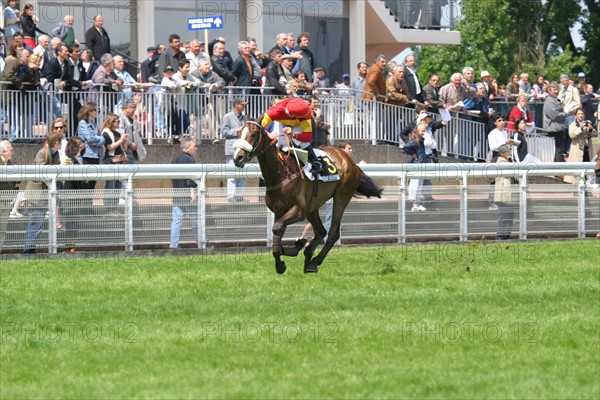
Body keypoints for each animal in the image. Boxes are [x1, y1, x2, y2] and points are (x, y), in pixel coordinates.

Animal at [232, 120, 382, 274]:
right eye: (238, 133)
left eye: (254, 134)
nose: (238, 158)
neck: (281, 173)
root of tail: (350, 160)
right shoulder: (280, 211)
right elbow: (277, 234)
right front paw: (291, 251)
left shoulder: (299, 210)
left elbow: (277, 228)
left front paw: (282, 263)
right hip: (313, 206)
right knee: (321, 231)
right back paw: (308, 257)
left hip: (341, 197)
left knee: (332, 233)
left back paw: (315, 260)